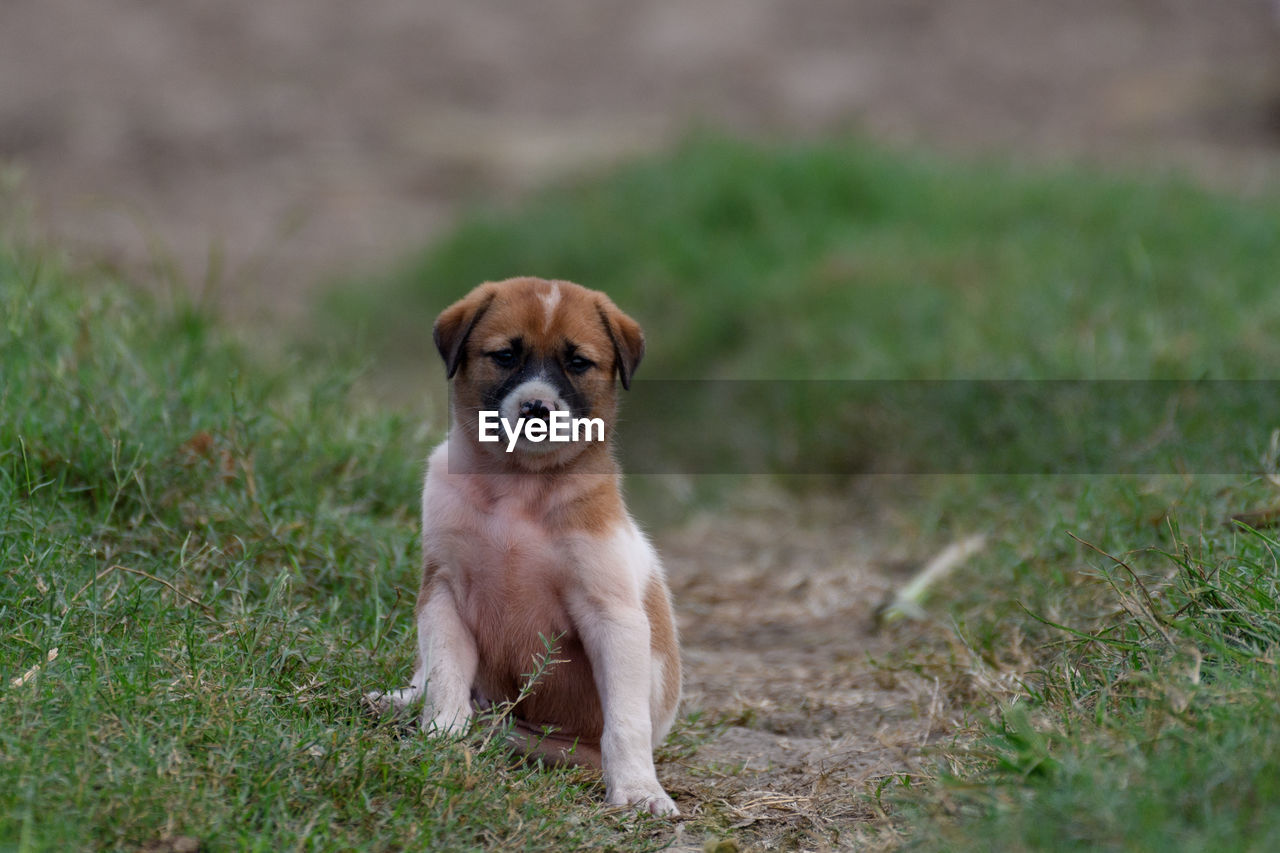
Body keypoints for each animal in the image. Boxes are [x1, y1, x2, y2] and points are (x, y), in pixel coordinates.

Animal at [366, 275, 686, 814]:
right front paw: (440, 734)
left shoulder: (612, 616)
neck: (519, 490)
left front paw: (639, 789)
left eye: (577, 362)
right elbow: (445, 676)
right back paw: (399, 702)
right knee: (425, 675)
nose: (537, 407)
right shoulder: (444, 590)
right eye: (506, 356)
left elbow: (626, 722)